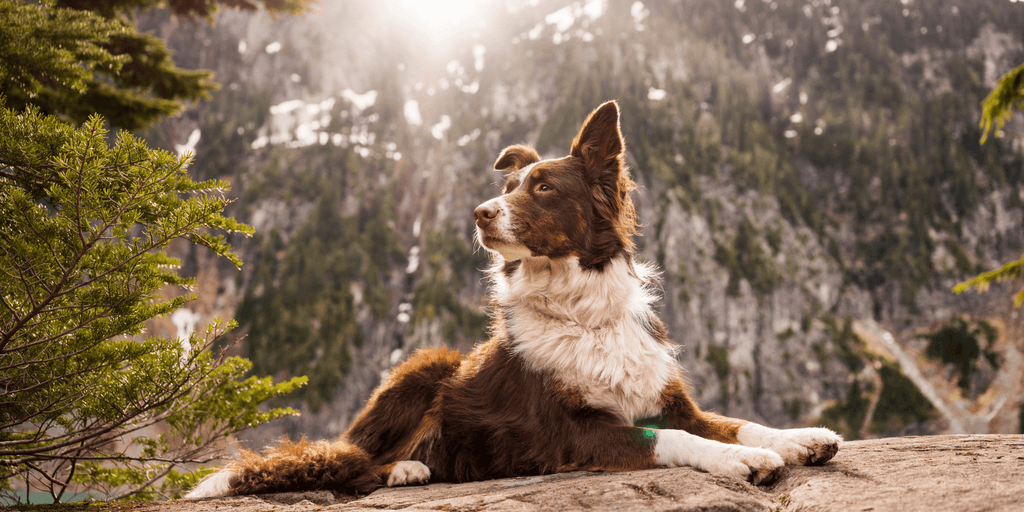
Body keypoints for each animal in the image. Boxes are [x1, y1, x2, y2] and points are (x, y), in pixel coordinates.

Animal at [184, 99, 839, 499]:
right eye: (508, 186)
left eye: (543, 187)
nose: (479, 212)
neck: (582, 313)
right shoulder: (567, 433)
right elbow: (671, 441)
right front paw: (735, 461)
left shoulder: (670, 400)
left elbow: (736, 423)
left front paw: (799, 438)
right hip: (425, 365)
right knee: (355, 463)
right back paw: (407, 467)